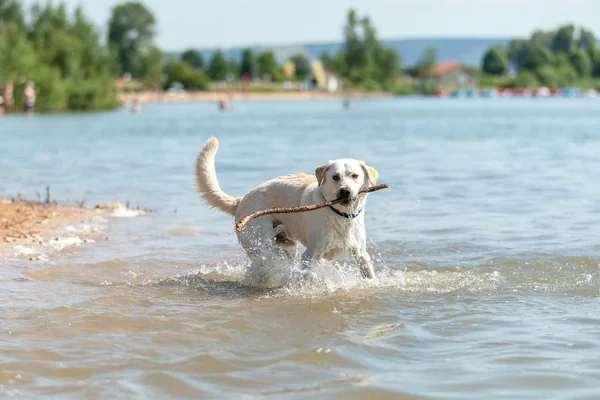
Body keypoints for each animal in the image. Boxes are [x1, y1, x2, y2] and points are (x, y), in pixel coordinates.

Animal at [197, 138, 380, 288]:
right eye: (335, 177)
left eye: (355, 176)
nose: (345, 191)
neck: (340, 214)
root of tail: (241, 200)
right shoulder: (310, 255)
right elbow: (307, 274)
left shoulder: (360, 253)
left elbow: (369, 273)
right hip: (260, 243)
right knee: (262, 264)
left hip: (288, 246)